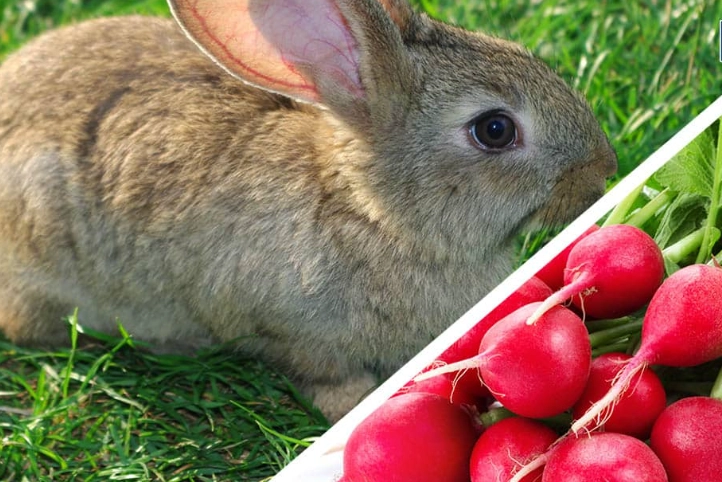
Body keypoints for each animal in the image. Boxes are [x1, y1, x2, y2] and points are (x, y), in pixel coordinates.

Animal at [0, 0, 617, 422]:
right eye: (494, 129)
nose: (604, 169)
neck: (373, 213)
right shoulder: (289, 330)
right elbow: (322, 374)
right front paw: (356, 403)